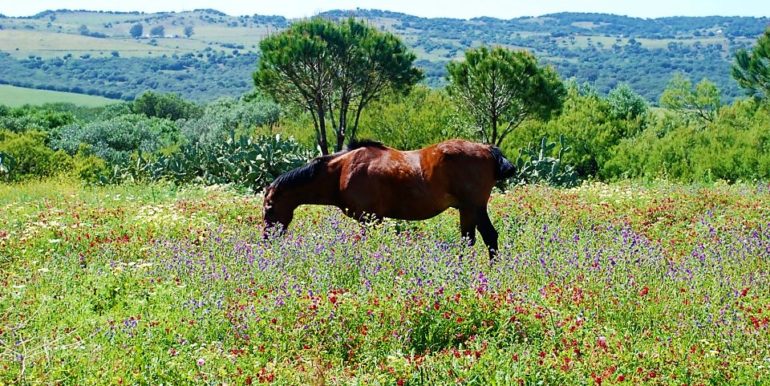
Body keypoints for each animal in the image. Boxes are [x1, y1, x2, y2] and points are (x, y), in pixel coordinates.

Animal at [262, 138, 516, 260]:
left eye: (269, 209)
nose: (267, 241)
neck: (342, 170)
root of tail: (488, 149)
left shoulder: (368, 218)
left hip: (473, 207)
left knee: (485, 237)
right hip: (468, 209)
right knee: (473, 239)